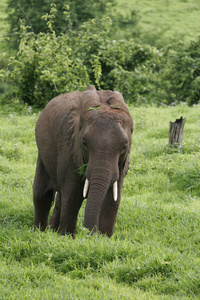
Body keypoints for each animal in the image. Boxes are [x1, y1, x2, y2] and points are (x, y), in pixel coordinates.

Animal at [32, 84, 133, 237]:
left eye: (124, 146)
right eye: (84, 143)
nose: (91, 234)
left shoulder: (122, 162)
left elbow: (112, 199)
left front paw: (105, 239)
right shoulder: (69, 146)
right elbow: (73, 195)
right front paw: (67, 238)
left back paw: (52, 231)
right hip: (43, 153)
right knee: (42, 194)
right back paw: (39, 232)